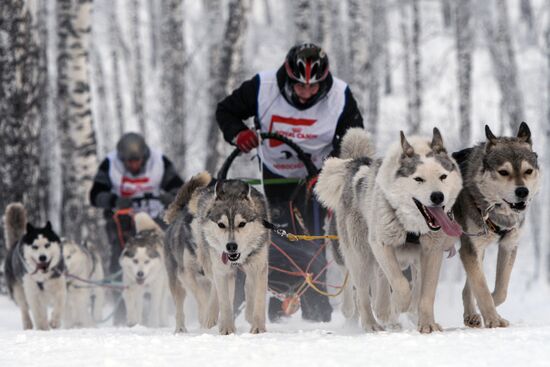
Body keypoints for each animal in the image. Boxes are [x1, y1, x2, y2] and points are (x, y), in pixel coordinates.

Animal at [164, 172, 272, 336]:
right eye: (221, 225)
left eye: (242, 224)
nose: (231, 246)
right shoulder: (217, 270)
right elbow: (224, 301)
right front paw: (226, 328)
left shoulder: (259, 267)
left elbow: (258, 299)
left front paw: (258, 328)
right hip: (198, 270)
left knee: (244, 286)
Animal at [314, 127, 466, 334]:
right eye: (418, 179)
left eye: (443, 176)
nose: (437, 197)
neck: (412, 226)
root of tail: (357, 165)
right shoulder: (382, 245)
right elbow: (401, 285)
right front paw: (397, 306)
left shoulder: (431, 252)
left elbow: (425, 293)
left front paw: (427, 324)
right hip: (360, 257)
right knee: (362, 293)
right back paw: (372, 322)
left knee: (383, 281)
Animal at [452, 123, 544, 328]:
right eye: (504, 172)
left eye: (528, 171)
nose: (522, 191)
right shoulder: (470, 248)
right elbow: (482, 288)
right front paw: (493, 319)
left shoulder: (508, 245)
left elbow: (500, 291)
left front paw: (483, 313)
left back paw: (471, 315)